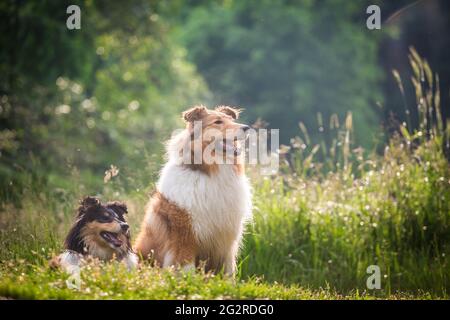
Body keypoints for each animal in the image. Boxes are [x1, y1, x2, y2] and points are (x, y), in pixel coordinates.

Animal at [134, 105, 253, 276]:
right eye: (218, 122)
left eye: (231, 120)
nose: (246, 128)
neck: (210, 173)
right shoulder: (186, 235)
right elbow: (186, 268)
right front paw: (188, 280)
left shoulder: (227, 238)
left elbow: (228, 270)